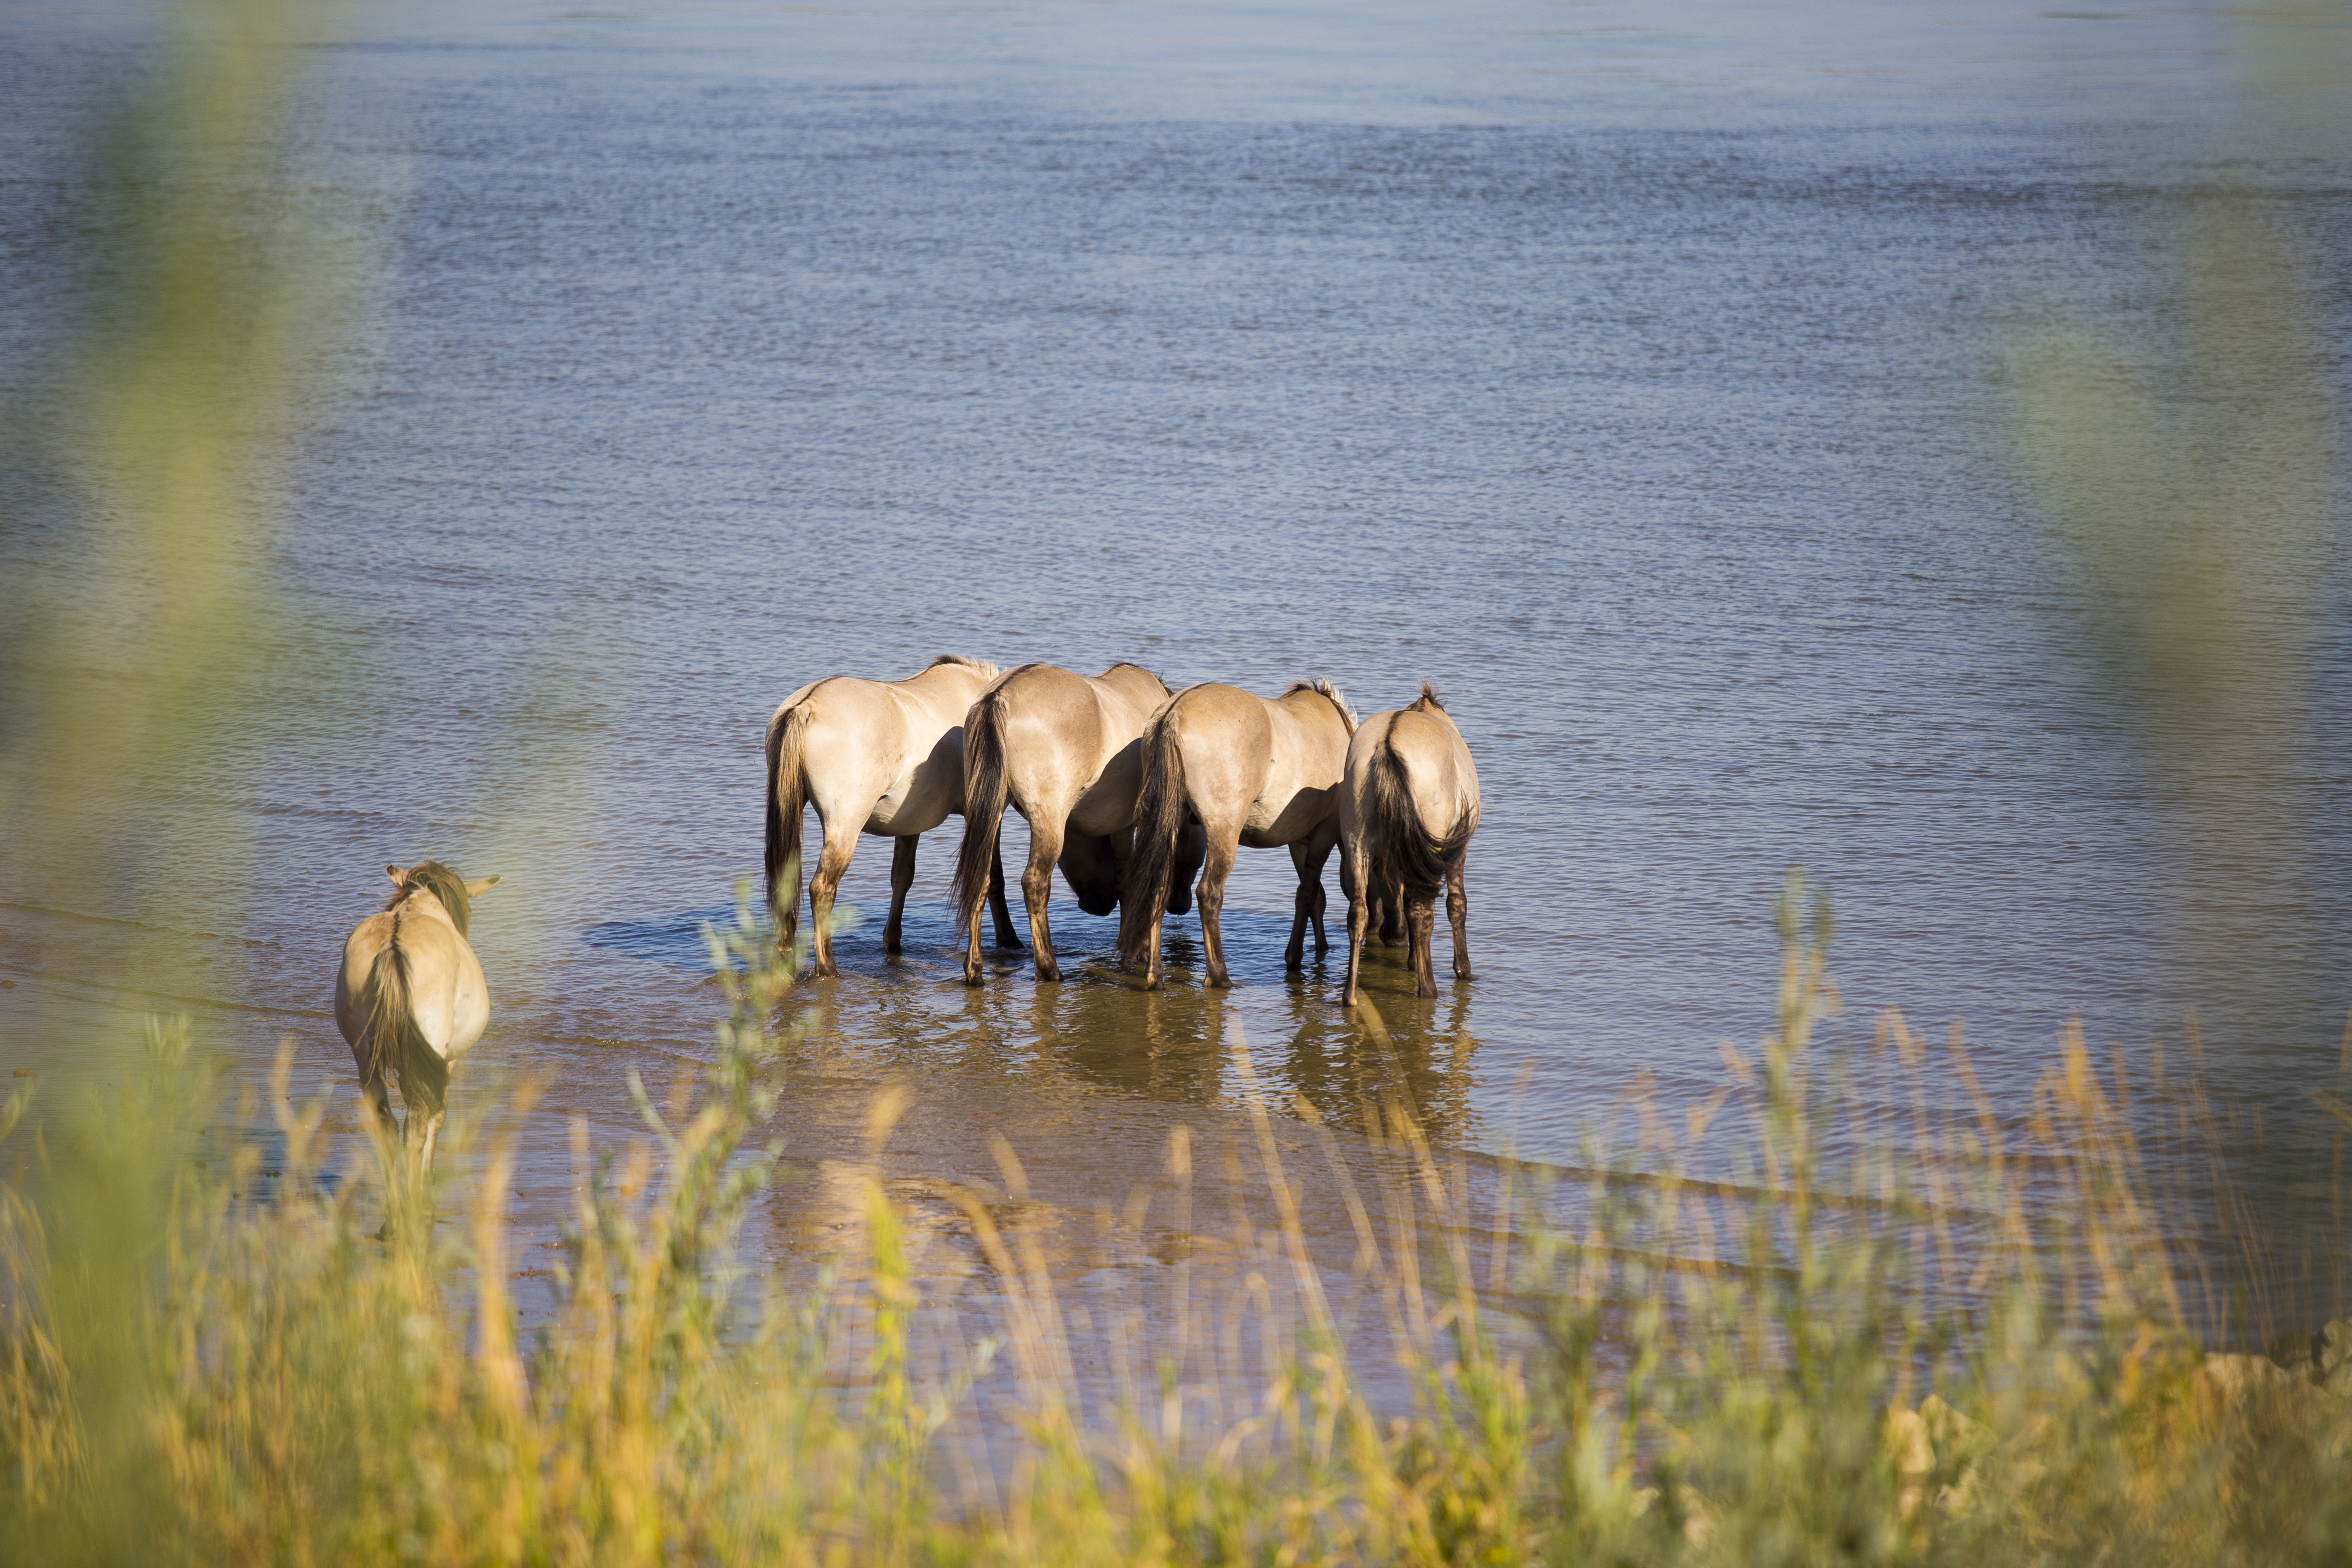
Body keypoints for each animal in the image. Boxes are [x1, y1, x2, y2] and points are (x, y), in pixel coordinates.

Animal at [334, 861, 501, 1206]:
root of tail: (393, 944)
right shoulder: (445, 1060)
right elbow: (439, 1113)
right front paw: (428, 1175)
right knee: (417, 1122)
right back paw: (414, 1197)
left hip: (364, 1054)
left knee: (386, 1123)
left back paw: (396, 1203)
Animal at [764, 654, 1023, 978]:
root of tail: (806, 706)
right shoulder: (988, 813)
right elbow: (993, 877)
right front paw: (1009, 940)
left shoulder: (910, 823)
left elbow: (902, 878)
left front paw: (893, 942)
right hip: (845, 827)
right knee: (822, 888)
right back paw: (827, 967)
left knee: (785, 881)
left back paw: (786, 957)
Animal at [951, 661, 1201, 985]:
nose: (1180, 906)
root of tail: (998, 697)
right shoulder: (1129, 825)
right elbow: (1131, 883)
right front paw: (1138, 951)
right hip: (1048, 818)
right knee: (1034, 883)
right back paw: (1049, 967)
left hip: (991, 810)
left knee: (982, 877)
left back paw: (975, 967)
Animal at [1117, 679, 1357, 990]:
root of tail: (1173, 715)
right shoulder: (1323, 833)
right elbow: (1308, 893)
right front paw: (1295, 957)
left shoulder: (1300, 839)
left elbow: (1313, 896)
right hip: (1224, 829)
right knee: (1209, 894)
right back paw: (1219, 976)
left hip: (1170, 823)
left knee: (1158, 886)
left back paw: (1155, 975)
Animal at [1339, 683, 1480, 1005]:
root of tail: (1386, 745)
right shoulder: (1455, 850)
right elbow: (1457, 904)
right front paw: (1463, 968)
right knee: (1421, 911)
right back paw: (1428, 989)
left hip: (1358, 843)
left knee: (1358, 913)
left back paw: (1350, 994)